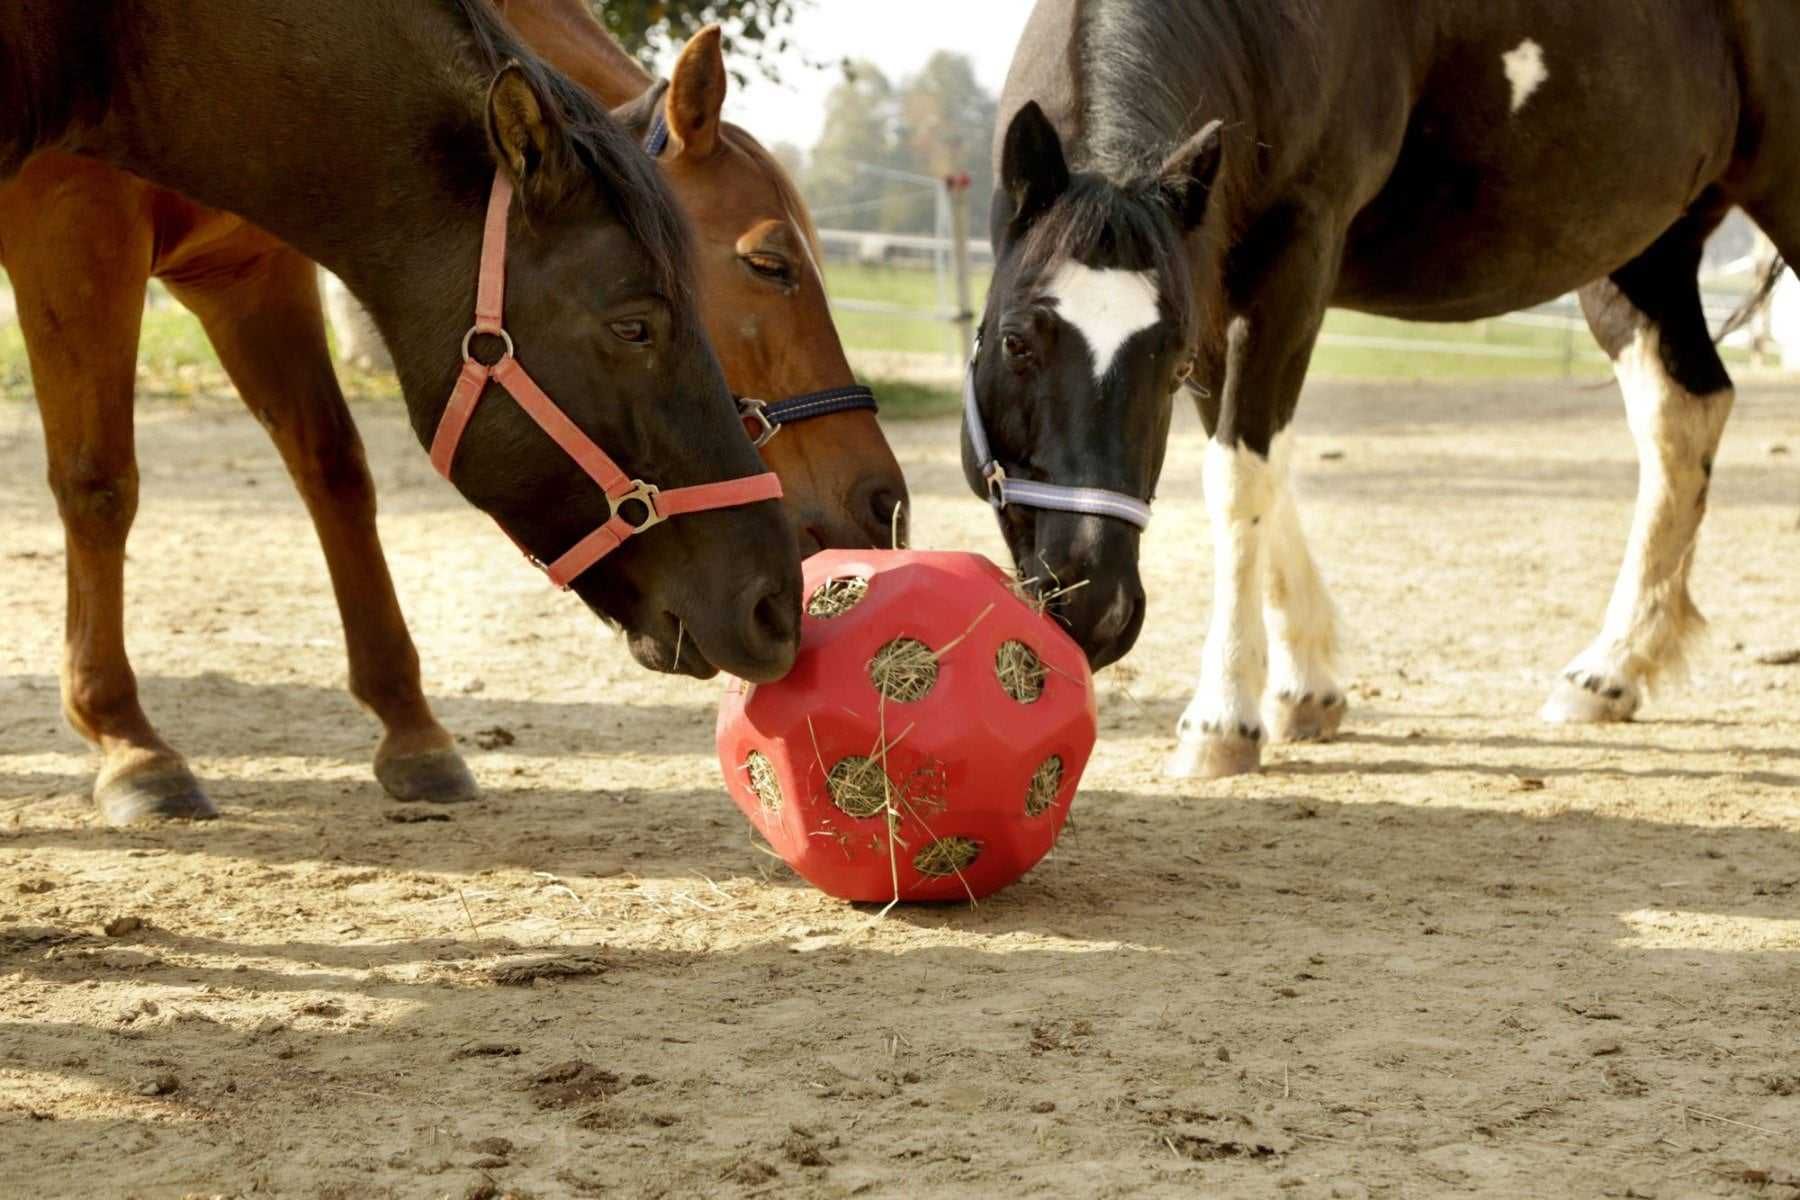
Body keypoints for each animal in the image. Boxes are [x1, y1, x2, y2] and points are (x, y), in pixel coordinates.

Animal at [0, 0, 806, 827]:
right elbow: (100, 483)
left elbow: (335, 470)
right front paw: (131, 745)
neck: (115, 38)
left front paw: (412, 731)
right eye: (634, 326)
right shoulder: (73, 231)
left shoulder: (245, 271)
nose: (777, 607)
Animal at [964, 0, 1792, 780]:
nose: (1096, 607)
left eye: (1169, 366)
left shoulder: (1293, 260)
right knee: (1684, 416)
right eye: (1015, 342)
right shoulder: (1215, 288)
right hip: (1649, 249)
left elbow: (1240, 478)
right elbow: (1261, 472)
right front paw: (1307, 687)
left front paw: (1222, 720)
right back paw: (1611, 670)